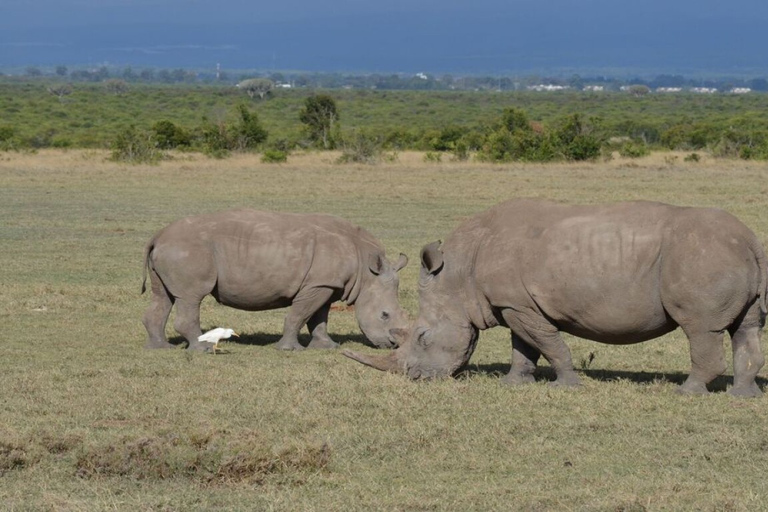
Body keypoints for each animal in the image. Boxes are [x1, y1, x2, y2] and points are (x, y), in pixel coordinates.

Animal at [142, 209, 412, 352]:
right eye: (385, 315)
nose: (392, 344)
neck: (366, 271)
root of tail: (158, 235)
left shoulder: (325, 284)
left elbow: (319, 318)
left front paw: (328, 347)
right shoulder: (317, 285)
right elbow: (299, 315)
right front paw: (290, 350)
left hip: (172, 250)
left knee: (162, 296)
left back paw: (161, 348)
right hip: (186, 250)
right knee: (191, 297)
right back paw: (202, 349)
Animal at [344, 199, 768, 396]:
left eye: (422, 337)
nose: (415, 378)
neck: (458, 275)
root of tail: (749, 239)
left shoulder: (521, 305)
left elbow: (549, 343)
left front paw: (565, 386)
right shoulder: (514, 303)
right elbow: (523, 347)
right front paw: (514, 384)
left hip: (702, 258)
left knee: (700, 329)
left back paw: (687, 392)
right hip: (727, 254)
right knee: (746, 327)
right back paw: (742, 395)